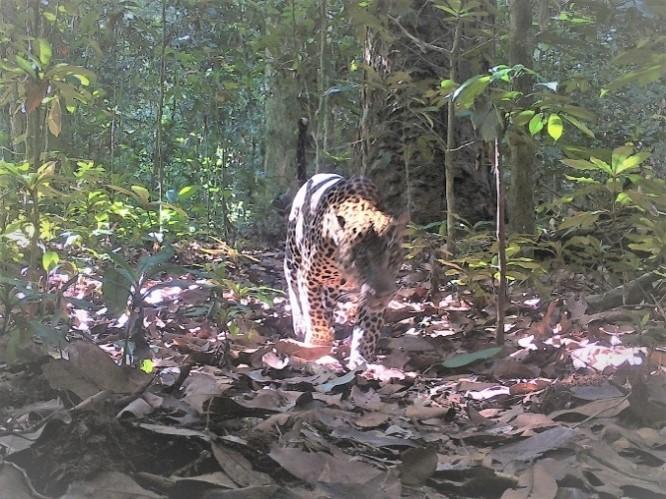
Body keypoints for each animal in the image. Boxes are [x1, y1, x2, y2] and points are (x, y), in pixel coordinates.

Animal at [282, 174, 404, 370]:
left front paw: (361, 357)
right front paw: (318, 344)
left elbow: (368, 325)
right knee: (292, 284)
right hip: (293, 254)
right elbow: (315, 313)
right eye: (362, 259)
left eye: (393, 257)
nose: (384, 295)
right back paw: (301, 323)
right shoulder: (309, 278)